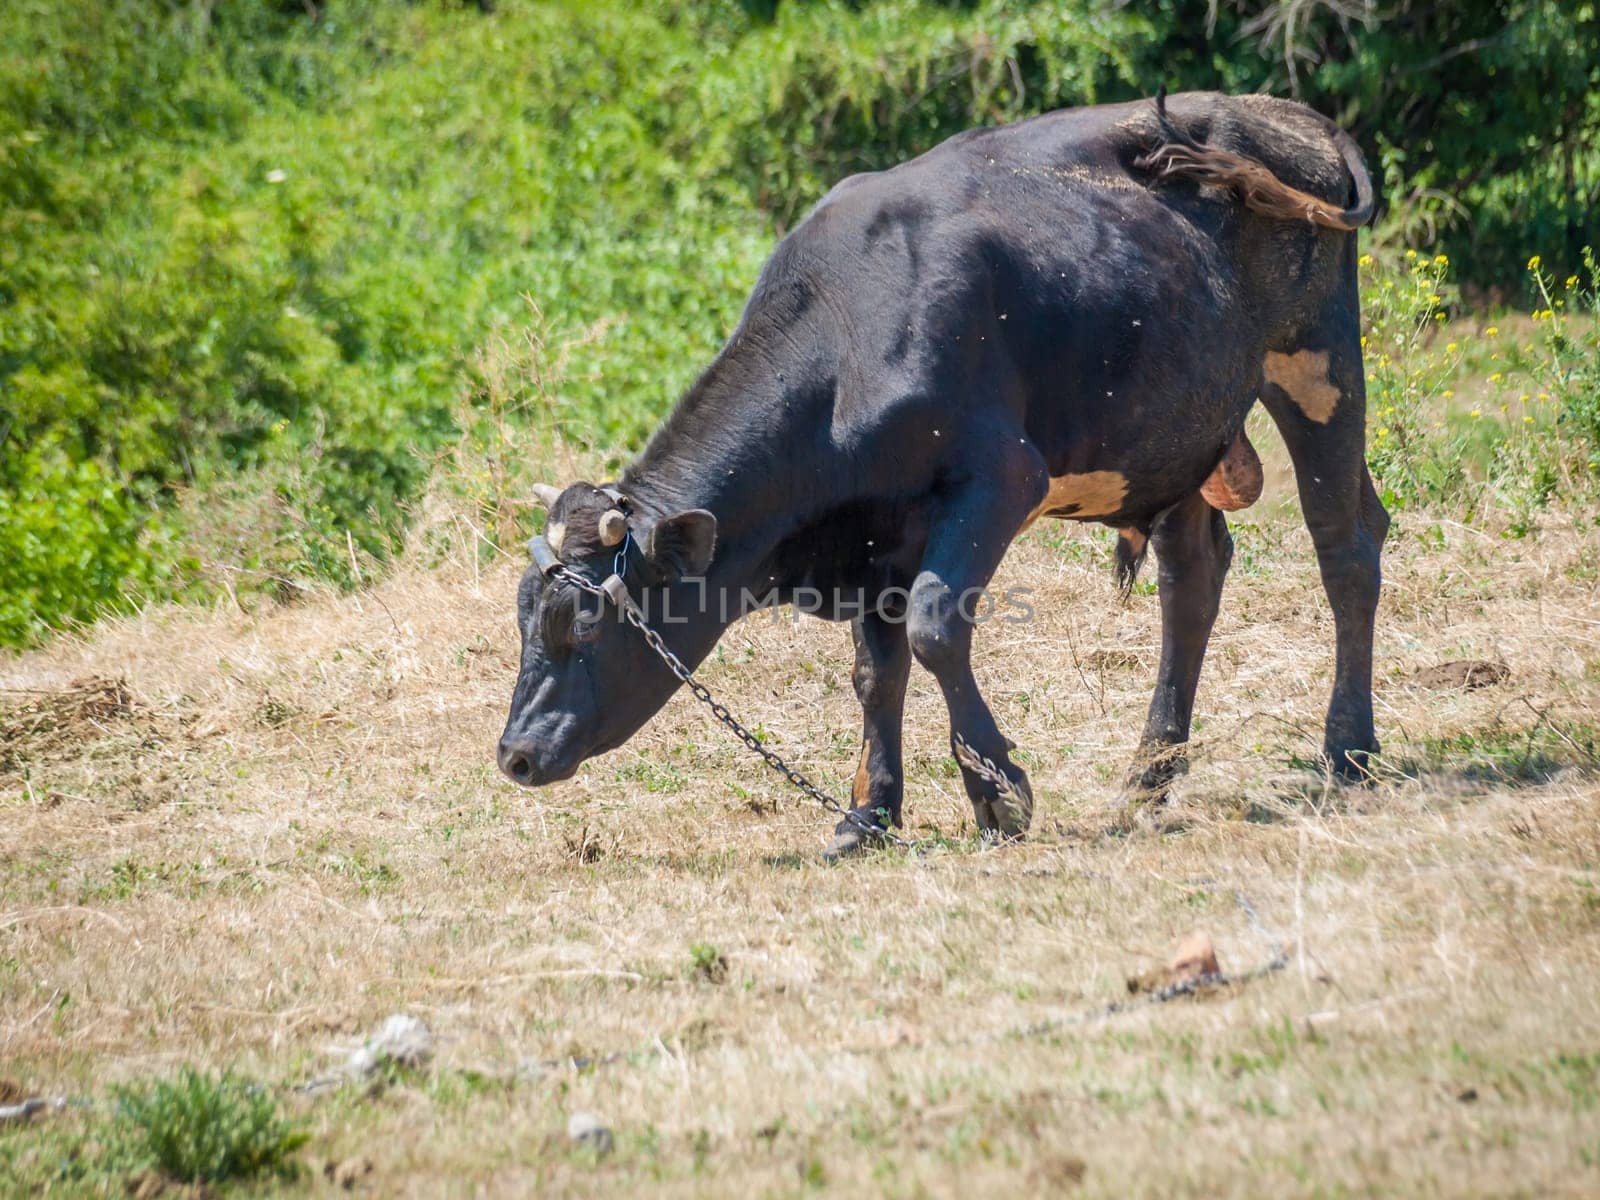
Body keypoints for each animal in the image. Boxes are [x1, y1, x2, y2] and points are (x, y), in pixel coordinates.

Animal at [499, 89, 1388, 857]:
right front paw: (867, 814)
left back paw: (1348, 753)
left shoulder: (1002, 477)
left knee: (1345, 543)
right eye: (523, 617)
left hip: (1317, 361)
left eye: (586, 626)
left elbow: (933, 625)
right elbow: (874, 672)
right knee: (1193, 579)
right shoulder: (874, 538)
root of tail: (1287, 113)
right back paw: (1146, 780)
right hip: (1178, 429)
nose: (515, 754)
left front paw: (998, 791)